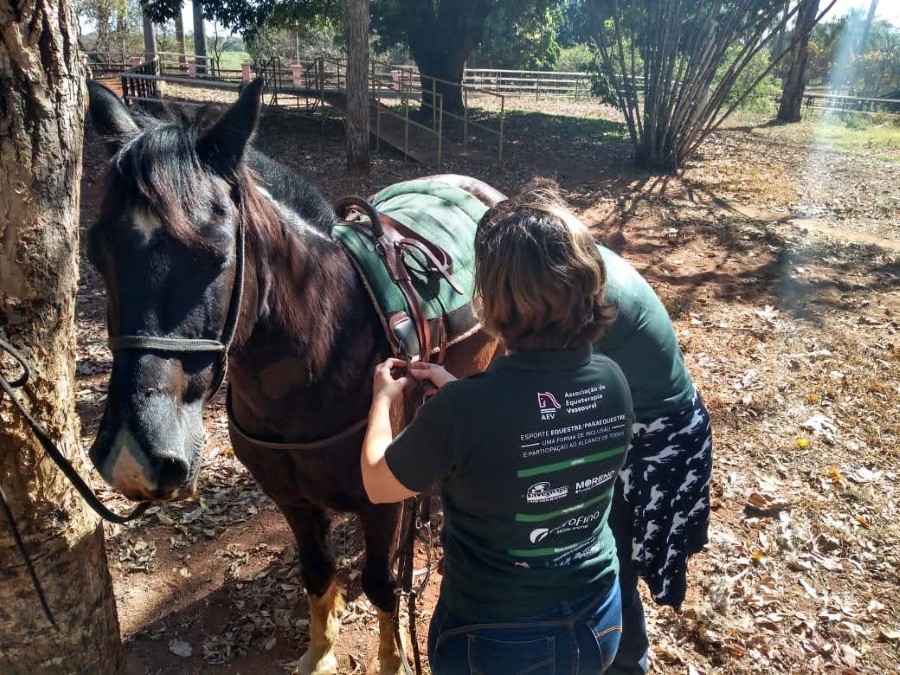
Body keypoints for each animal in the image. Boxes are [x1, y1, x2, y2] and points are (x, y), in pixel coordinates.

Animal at [84, 78, 504, 674]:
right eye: (96, 252)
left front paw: (392, 656)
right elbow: (317, 571)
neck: (321, 354)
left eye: (216, 254)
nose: (133, 455)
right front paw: (321, 651)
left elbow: (381, 584)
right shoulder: (293, 501)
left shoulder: (380, 503)